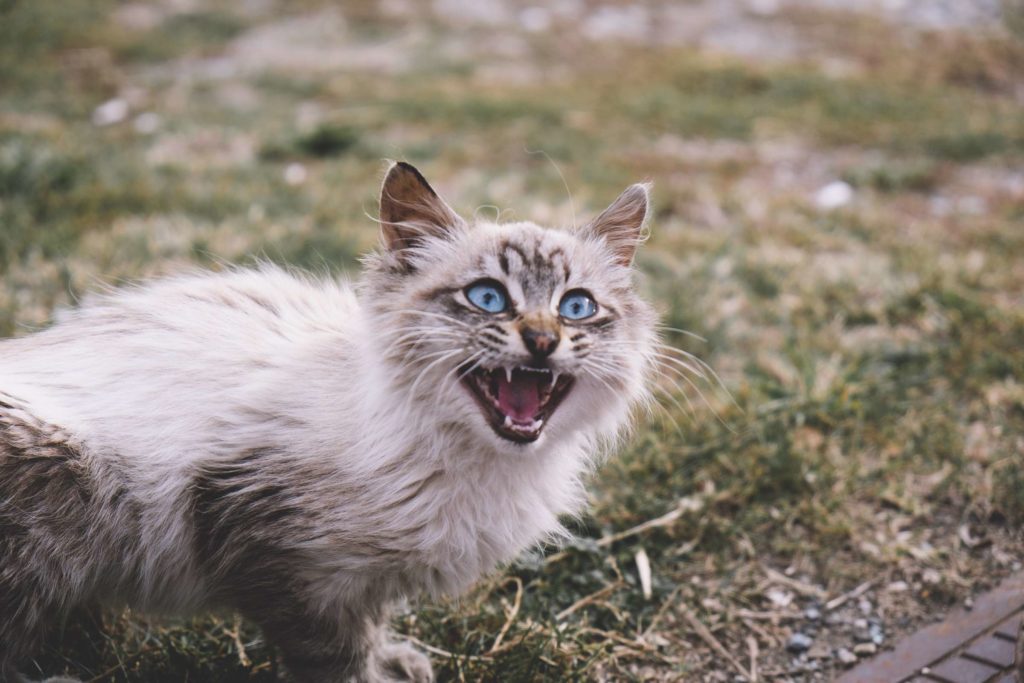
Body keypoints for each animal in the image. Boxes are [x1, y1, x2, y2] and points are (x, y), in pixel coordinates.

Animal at [0, 163, 655, 683]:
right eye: (488, 297)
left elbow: (374, 628)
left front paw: (397, 664)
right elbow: (338, 658)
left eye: (577, 307)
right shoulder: (297, 571)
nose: (543, 341)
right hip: (53, 498)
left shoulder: (360, 580)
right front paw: (375, 675)